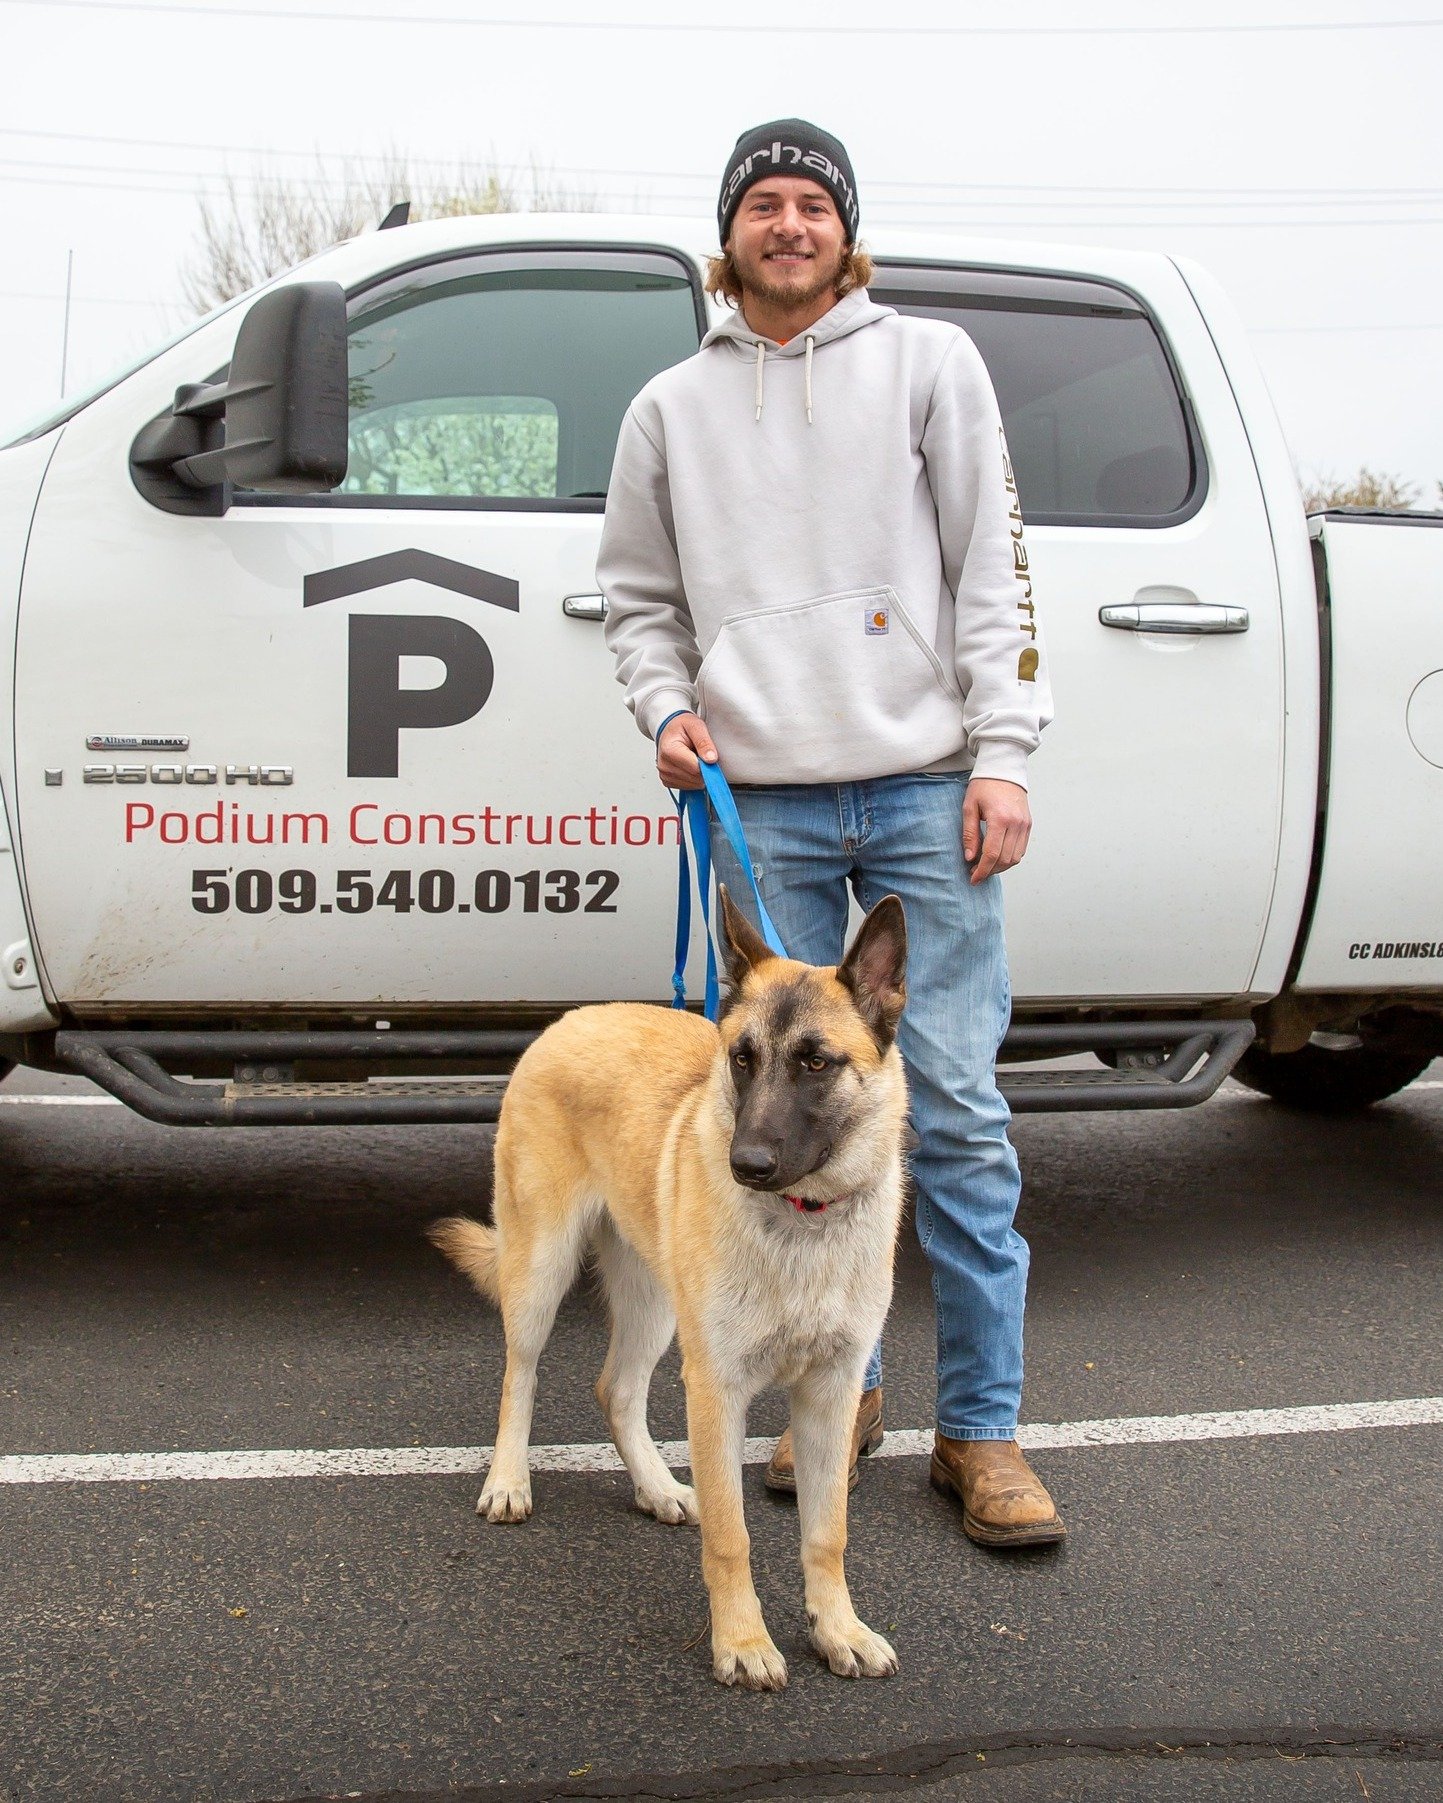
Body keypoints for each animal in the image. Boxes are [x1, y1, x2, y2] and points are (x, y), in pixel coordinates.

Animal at [429, 887, 909, 1687]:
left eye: (815, 1061)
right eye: (742, 1059)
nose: (745, 1163)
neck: (802, 1217)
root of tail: (576, 1015)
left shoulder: (830, 1396)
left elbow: (826, 1533)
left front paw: (837, 1628)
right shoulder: (716, 1390)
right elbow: (730, 1534)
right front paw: (742, 1642)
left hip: (654, 1306)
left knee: (615, 1390)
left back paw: (654, 1487)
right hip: (539, 1273)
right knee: (519, 1376)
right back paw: (508, 1480)